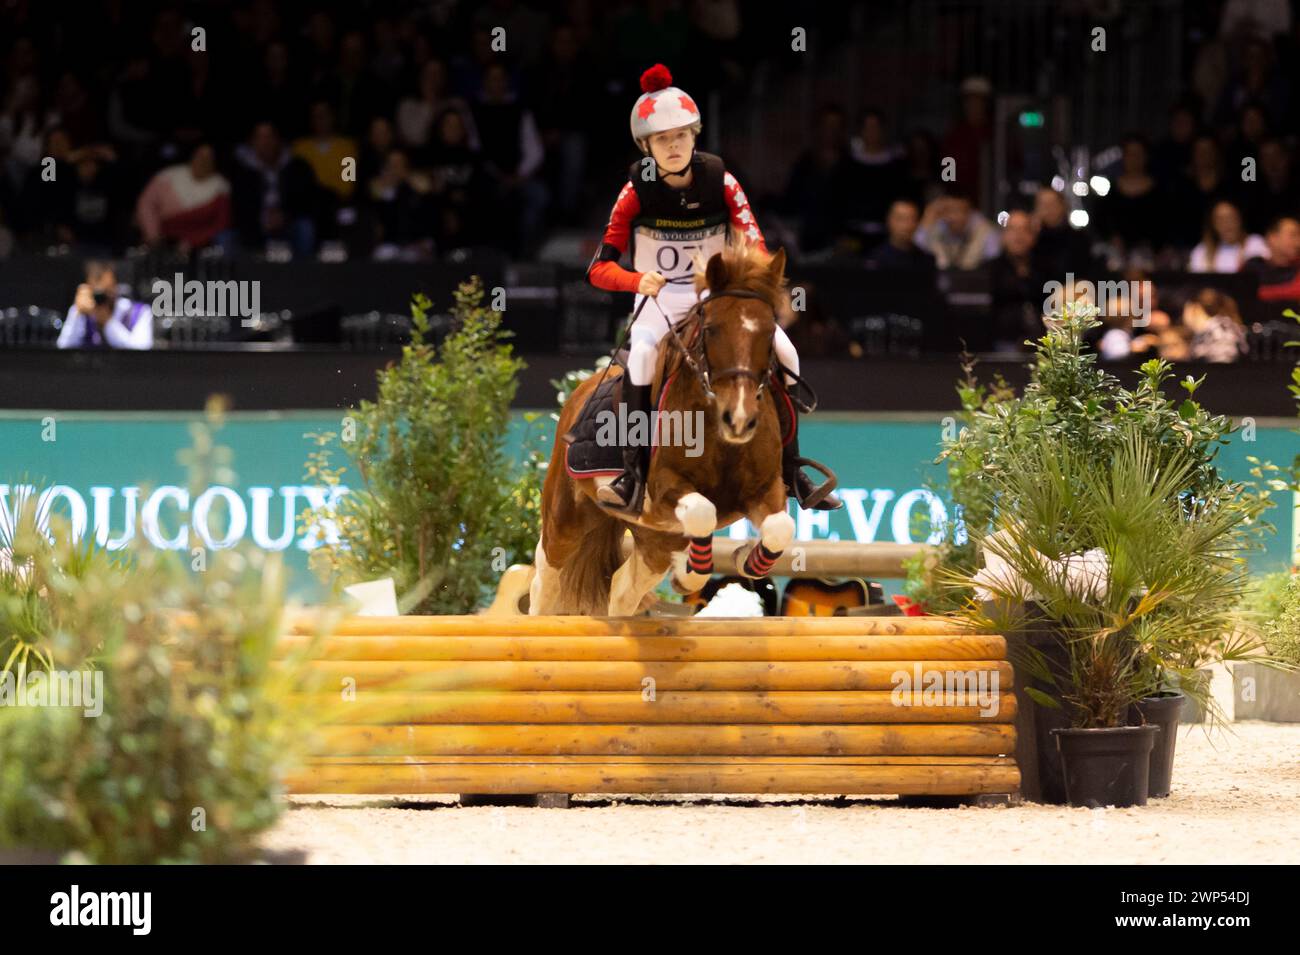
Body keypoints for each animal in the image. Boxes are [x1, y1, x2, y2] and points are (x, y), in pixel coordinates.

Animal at [525, 239, 790, 613]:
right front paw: (693, 573)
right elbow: (702, 511)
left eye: (770, 333)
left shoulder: (765, 488)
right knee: (546, 580)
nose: (739, 419)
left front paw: (742, 560)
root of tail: (581, 388)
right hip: (566, 519)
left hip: (654, 539)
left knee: (623, 589)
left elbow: (781, 527)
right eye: (711, 330)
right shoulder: (665, 488)